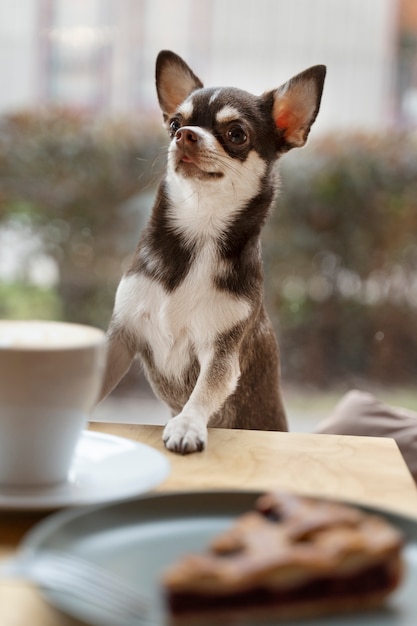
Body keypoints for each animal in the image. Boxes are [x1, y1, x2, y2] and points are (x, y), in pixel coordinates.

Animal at [98, 50, 324, 454]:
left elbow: (203, 392)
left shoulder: (220, 353)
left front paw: (187, 424)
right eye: (175, 123)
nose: (185, 135)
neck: (200, 231)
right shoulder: (123, 335)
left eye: (236, 134)